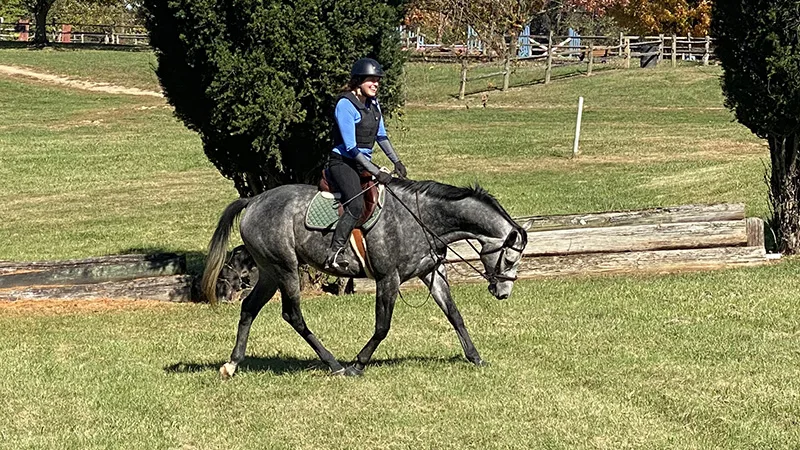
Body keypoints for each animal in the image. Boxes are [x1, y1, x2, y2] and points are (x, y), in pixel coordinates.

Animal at [202, 178, 532, 376]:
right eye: (511, 257)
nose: (503, 293)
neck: (423, 217)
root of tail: (254, 200)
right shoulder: (389, 279)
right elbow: (382, 326)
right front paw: (358, 364)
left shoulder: (431, 273)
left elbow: (455, 316)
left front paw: (475, 357)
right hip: (285, 269)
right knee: (292, 314)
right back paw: (335, 364)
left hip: (270, 272)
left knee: (249, 308)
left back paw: (232, 364)